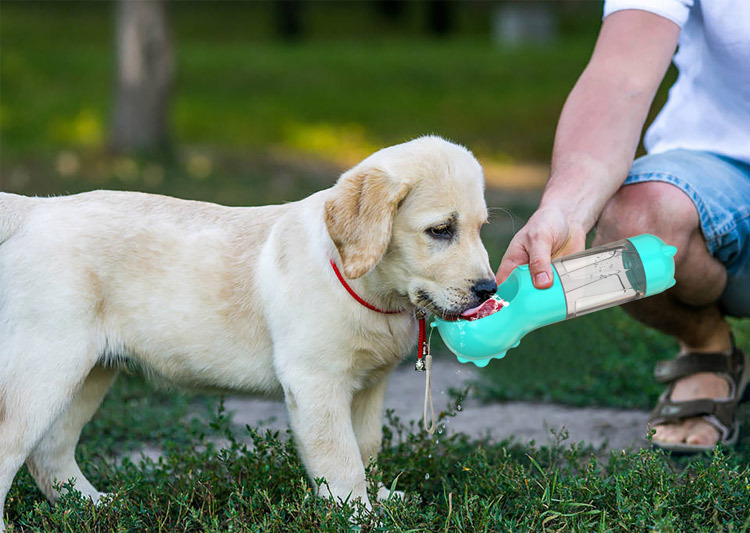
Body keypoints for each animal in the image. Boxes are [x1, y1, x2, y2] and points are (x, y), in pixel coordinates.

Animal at [0, 134, 500, 528]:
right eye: (440, 230)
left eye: (481, 229)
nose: (488, 289)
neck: (365, 284)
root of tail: (36, 210)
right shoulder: (316, 383)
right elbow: (342, 459)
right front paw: (360, 515)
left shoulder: (370, 386)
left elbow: (367, 449)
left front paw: (379, 501)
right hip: (46, 366)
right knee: (13, 447)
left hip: (89, 372)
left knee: (49, 453)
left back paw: (95, 506)